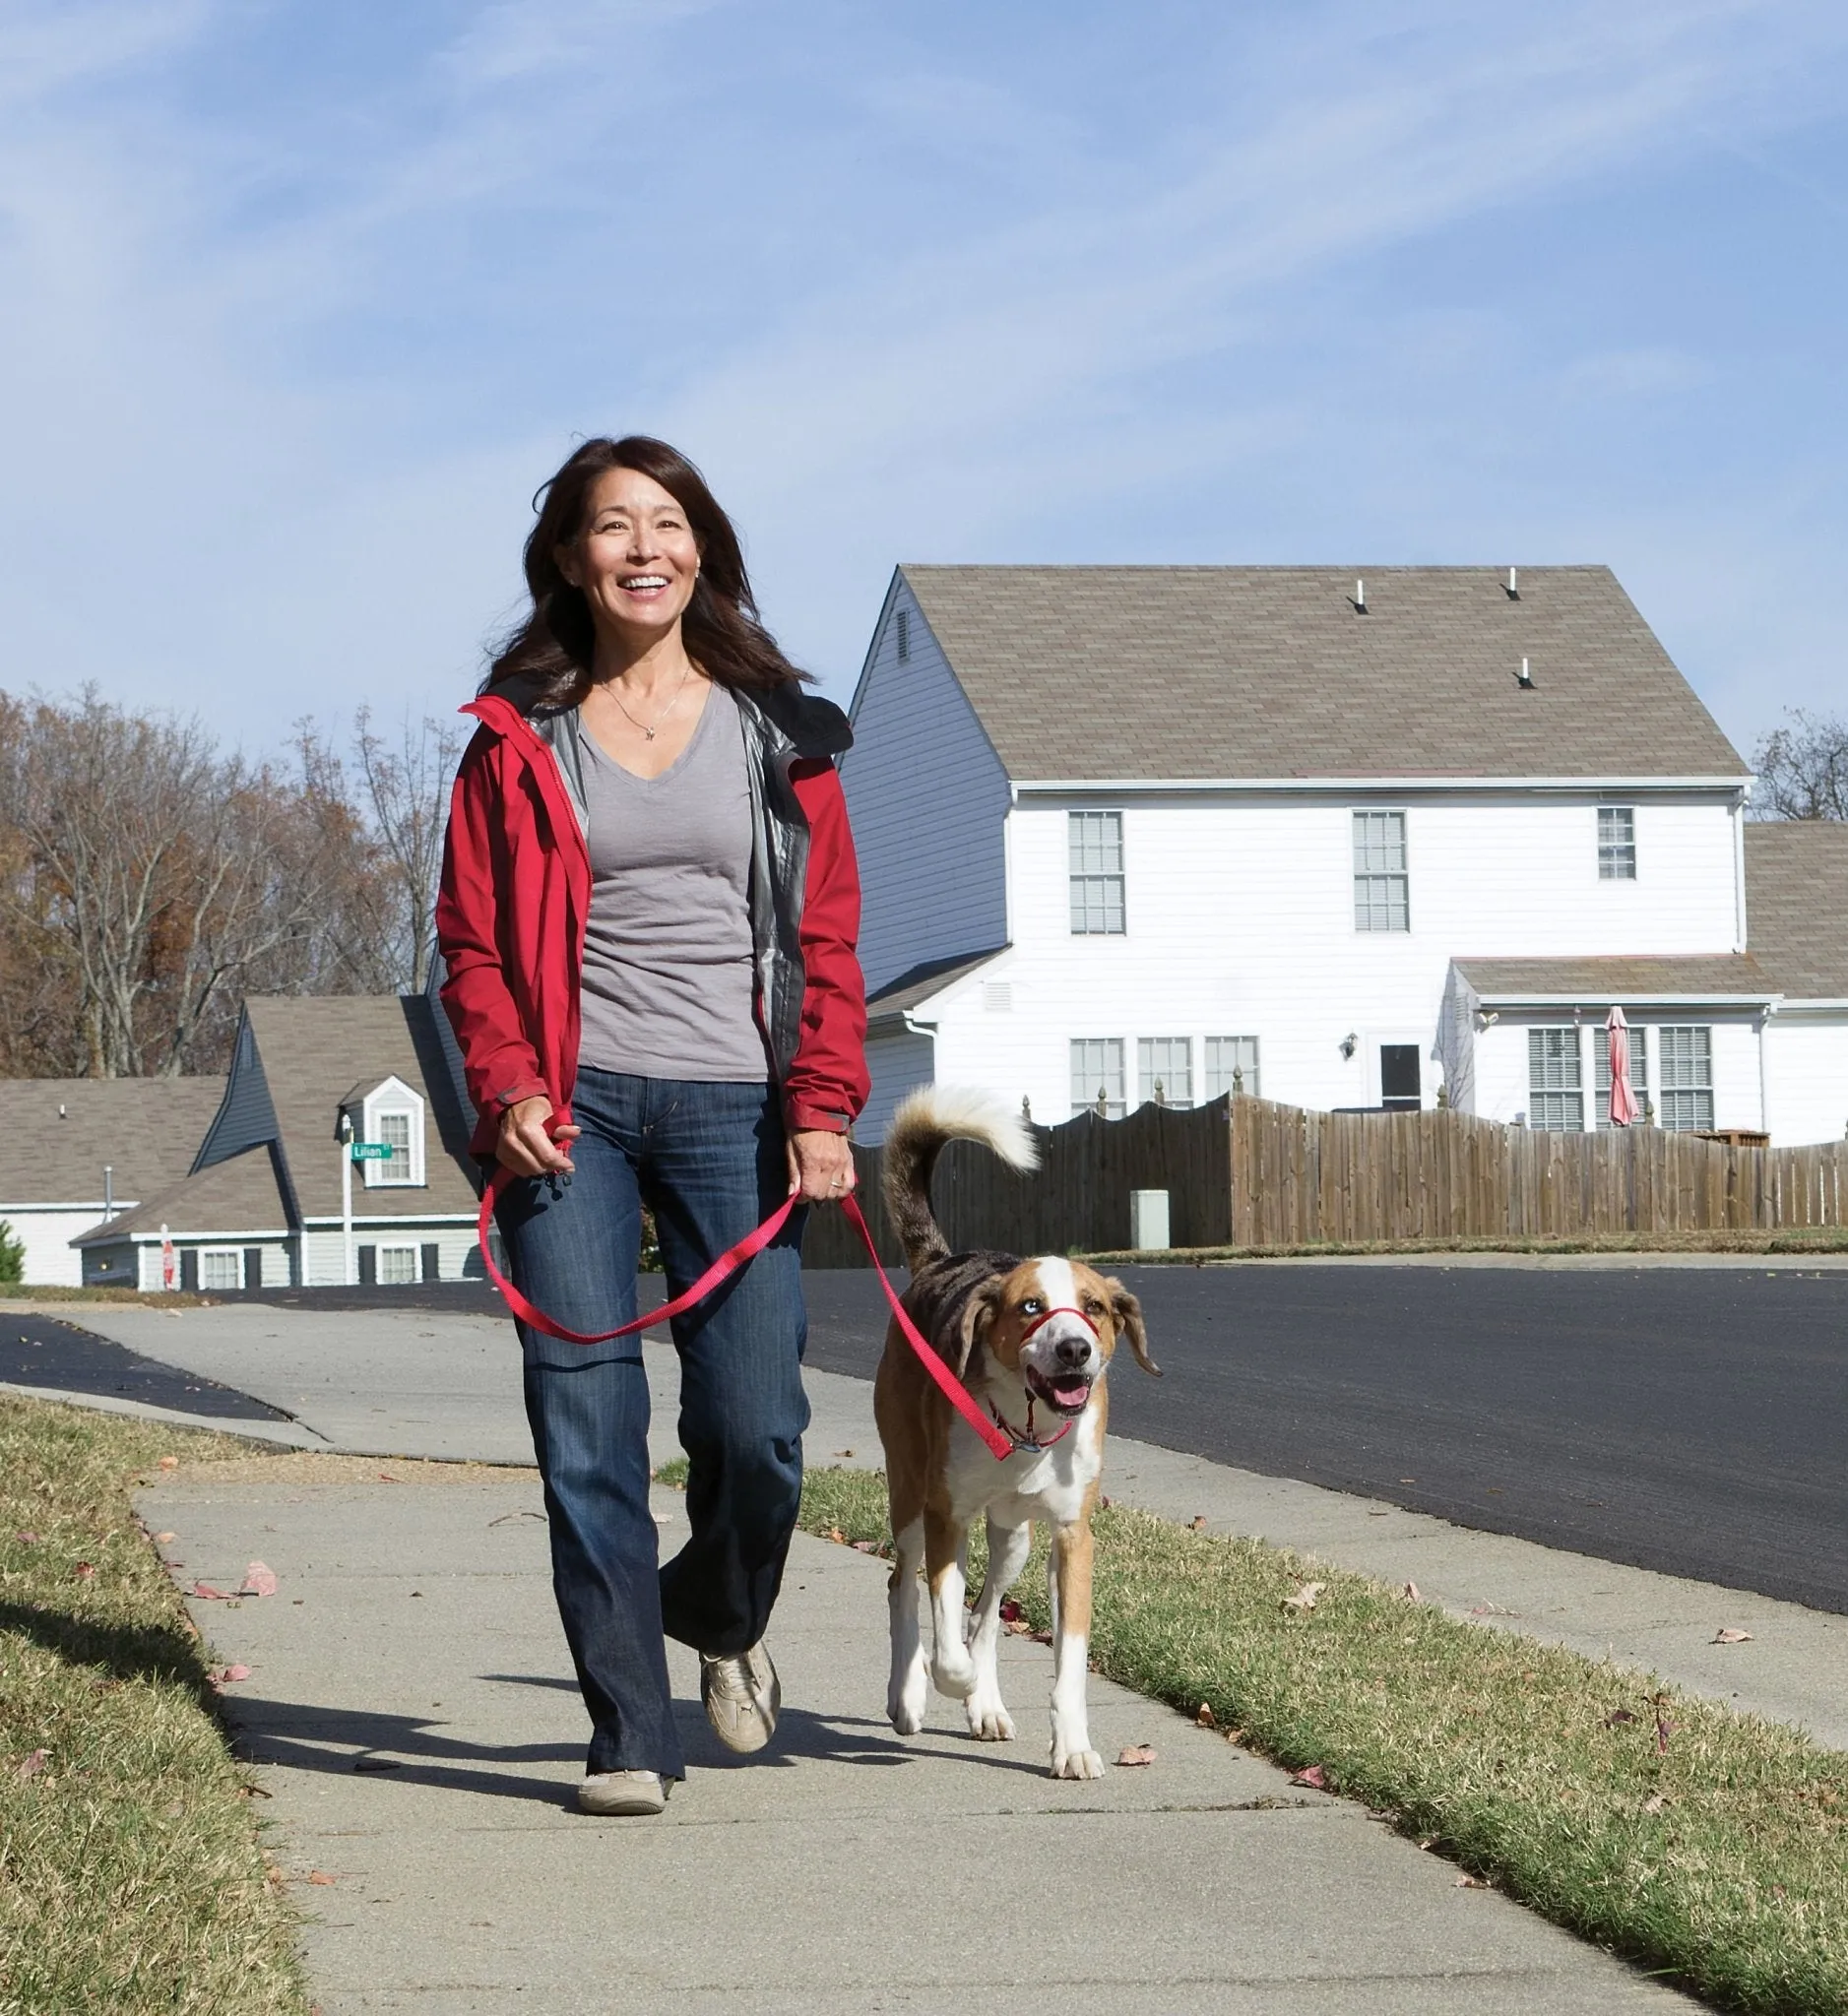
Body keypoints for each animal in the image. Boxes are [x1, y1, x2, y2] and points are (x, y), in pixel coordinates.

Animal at [874, 1088, 1161, 1782]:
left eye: (1094, 1307)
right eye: (1031, 1307)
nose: (1076, 1348)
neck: (1027, 1431)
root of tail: (942, 1262)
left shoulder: (1072, 1538)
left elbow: (1067, 1661)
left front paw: (1073, 1747)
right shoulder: (946, 1516)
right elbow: (946, 1629)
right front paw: (945, 1680)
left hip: (1014, 1538)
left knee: (985, 1616)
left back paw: (986, 1706)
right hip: (911, 1499)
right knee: (905, 1588)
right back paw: (910, 1696)